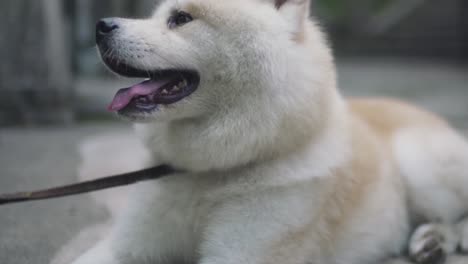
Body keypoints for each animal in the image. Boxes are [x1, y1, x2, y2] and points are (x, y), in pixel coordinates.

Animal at [68, 0, 468, 264]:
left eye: (181, 18)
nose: (101, 26)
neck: (210, 174)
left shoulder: (243, 252)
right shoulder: (126, 246)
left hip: (419, 163)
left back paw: (435, 238)